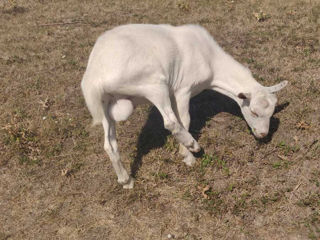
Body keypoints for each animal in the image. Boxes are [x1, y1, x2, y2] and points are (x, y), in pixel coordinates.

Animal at [82, 24, 288, 189]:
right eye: (253, 111)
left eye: (271, 113)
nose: (263, 134)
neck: (210, 60)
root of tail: (96, 78)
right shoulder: (182, 89)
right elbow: (184, 120)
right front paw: (186, 155)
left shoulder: (175, 92)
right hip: (153, 85)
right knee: (170, 122)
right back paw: (193, 146)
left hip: (106, 104)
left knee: (109, 144)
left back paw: (126, 181)